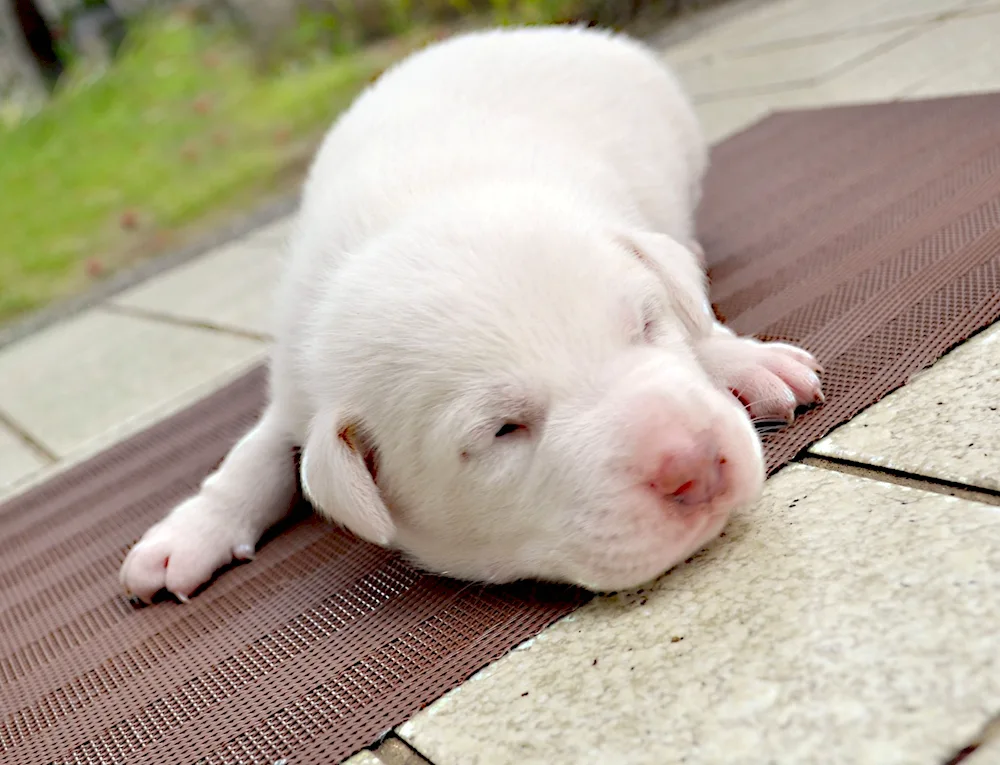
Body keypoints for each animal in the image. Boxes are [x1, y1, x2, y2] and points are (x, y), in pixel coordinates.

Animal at [119, 23, 820, 600]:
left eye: (645, 328)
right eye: (502, 430)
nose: (695, 464)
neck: (413, 211)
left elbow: (691, 315)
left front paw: (740, 358)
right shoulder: (295, 382)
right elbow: (253, 453)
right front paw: (190, 533)